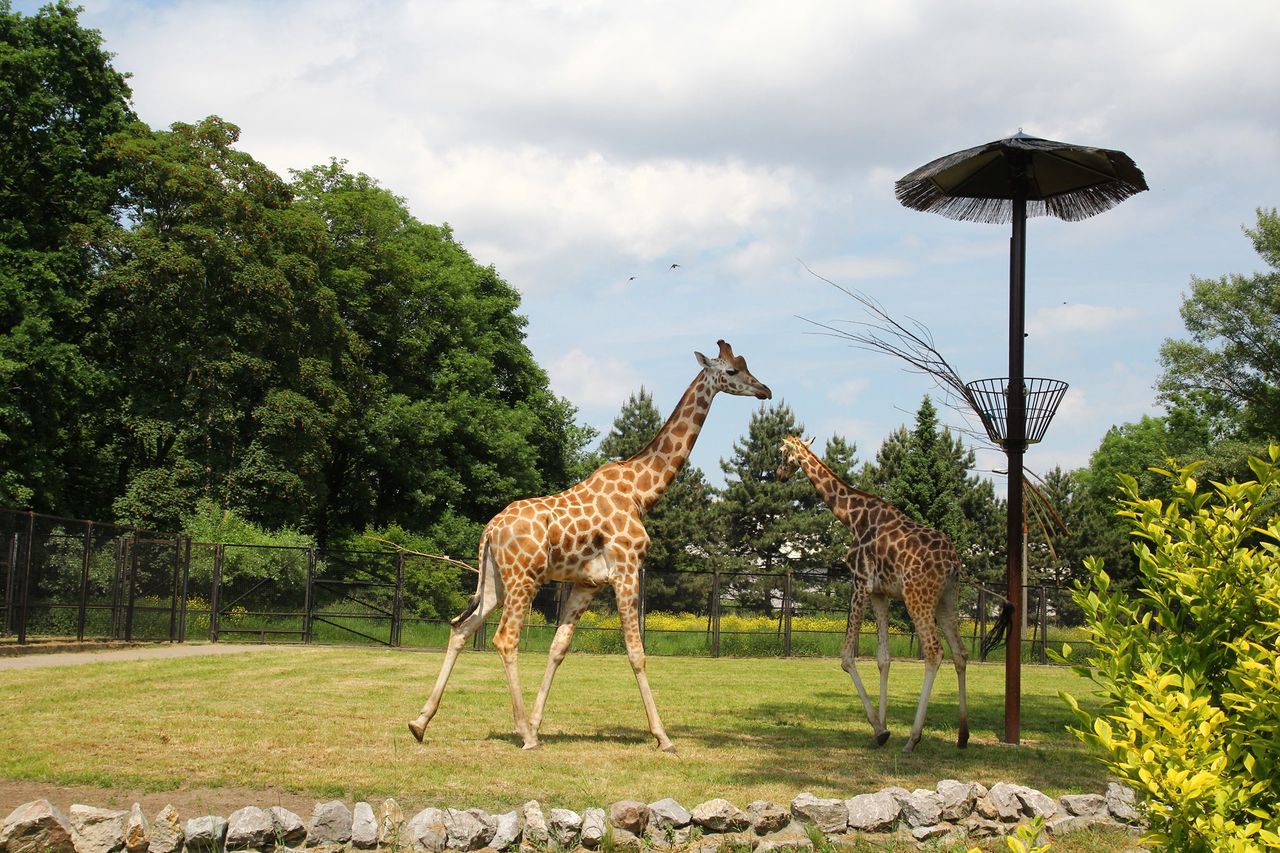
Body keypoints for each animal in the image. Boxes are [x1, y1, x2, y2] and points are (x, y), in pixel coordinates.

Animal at [768, 435, 967, 747]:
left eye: (781, 452)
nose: (778, 474)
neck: (853, 516)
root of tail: (953, 562)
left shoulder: (860, 581)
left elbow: (847, 657)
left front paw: (879, 728)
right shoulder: (880, 593)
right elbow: (883, 658)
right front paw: (882, 727)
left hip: (918, 596)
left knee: (934, 652)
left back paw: (913, 738)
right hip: (947, 598)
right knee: (960, 653)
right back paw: (962, 735)